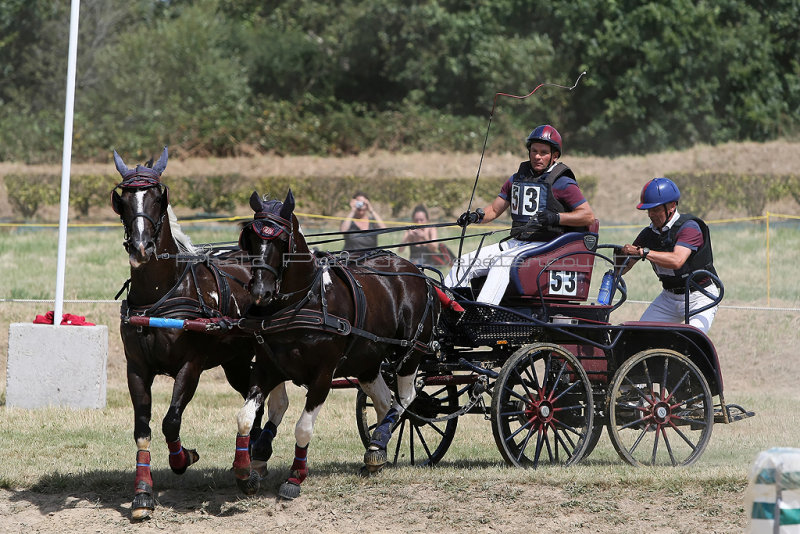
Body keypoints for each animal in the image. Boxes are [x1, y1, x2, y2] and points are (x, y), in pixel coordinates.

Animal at [111, 149, 290, 520]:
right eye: (123, 199)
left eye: (157, 198)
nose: (141, 247)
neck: (159, 294)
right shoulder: (136, 369)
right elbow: (142, 430)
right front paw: (142, 495)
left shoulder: (190, 367)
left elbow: (171, 421)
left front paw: (183, 458)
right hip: (236, 362)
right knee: (255, 402)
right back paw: (252, 458)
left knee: (261, 401)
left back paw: (250, 464)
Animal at [231, 191, 440, 500]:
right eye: (251, 239)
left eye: (282, 241)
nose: (260, 292)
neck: (303, 301)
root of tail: (417, 273)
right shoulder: (268, 366)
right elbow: (247, 416)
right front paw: (246, 471)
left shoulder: (323, 375)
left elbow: (303, 428)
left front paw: (295, 477)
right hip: (367, 362)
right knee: (383, 400)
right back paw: (377, 449)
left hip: (411, 352)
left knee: (405, 397)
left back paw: (380, 438)